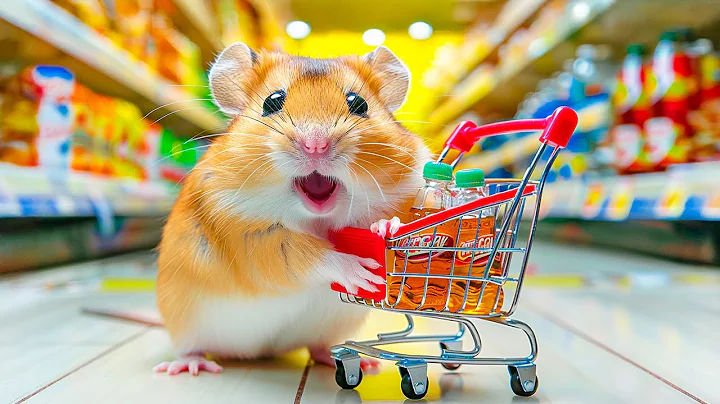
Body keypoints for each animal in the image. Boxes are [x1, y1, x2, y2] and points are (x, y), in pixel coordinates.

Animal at [154, 42, 431, 375]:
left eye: (359, 103)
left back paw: (363, 364)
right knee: (190, 348)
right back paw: (190, 367)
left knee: (320, 347)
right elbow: (308, 255)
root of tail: (255, 353)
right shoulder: (250, 237)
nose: (316, 145)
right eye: (272, 102)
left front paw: (386, 227)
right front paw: (362, 272)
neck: (317, 217)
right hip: (184, 322)